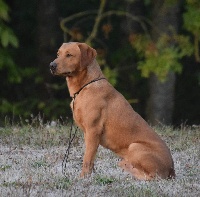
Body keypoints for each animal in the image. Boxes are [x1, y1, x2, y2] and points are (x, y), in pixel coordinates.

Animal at [49, 42, 175, 181]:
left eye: (69, 55)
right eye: (58, 54)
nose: (51, 65)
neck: (85, 86)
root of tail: (171, 170)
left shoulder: (93, 130)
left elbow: (87, 159)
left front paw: (83, 178)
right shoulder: (88, 134)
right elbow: (91, 158)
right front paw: (91, 176)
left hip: (135, 146)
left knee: (151, 176)